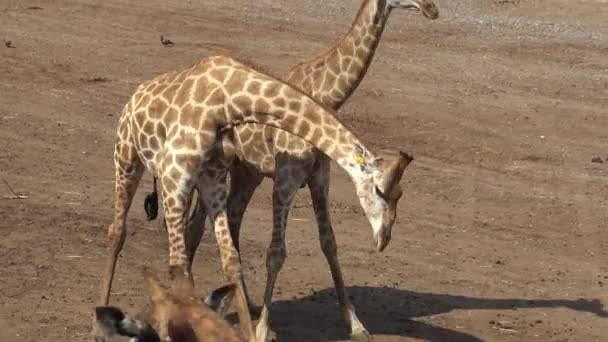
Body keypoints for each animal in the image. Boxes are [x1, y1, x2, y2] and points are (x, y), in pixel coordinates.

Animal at [141, 1, 436, 340]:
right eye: (379, 190)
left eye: (401, 194)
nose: (432, 9)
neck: (326, 93)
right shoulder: (285, 178)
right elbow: (276, 252)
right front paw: (263, 329)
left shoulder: (320, 177)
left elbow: (329, 244)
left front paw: (356, 325)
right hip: (219, 172)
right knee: (194, 228)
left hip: (247, 173)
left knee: (231, 221)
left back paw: (244, 302)